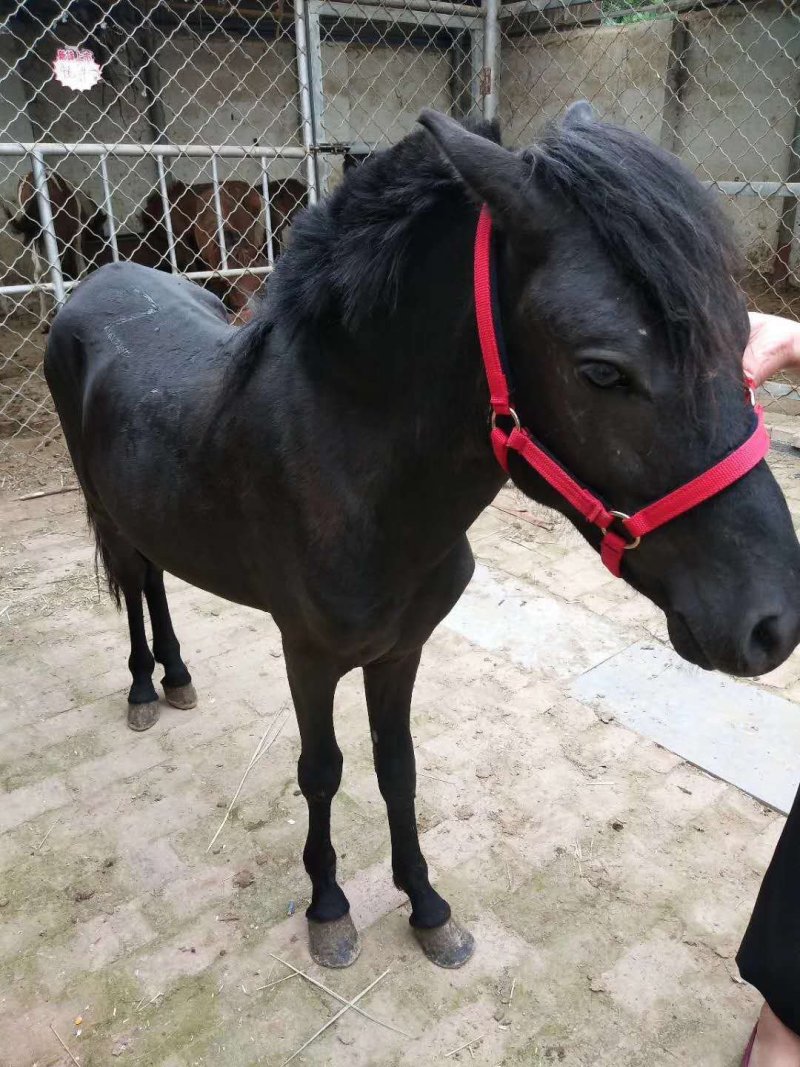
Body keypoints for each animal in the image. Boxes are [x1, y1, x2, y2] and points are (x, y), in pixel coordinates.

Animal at [44, 103, 800, 971]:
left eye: (742, 339)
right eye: (602, 370)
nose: (774, 622)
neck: (356, 474)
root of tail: (98, 283)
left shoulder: (400, 650)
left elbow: (397, 769)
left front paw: (427, 906)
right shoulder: (308, 654)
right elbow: (322, 771)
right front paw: (329, 907)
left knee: (157, 579)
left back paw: (175, 675)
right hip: (104, 506)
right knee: (135, 582)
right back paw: (144, 685)